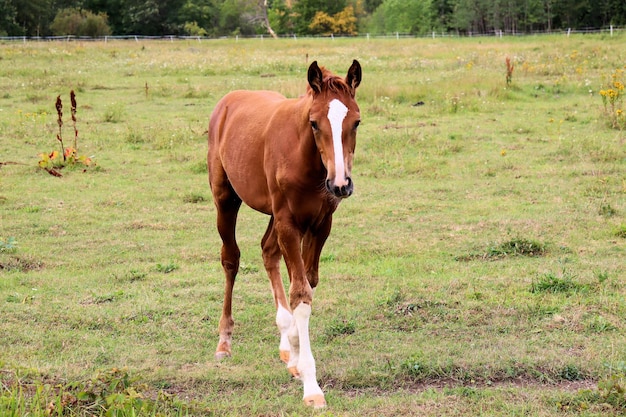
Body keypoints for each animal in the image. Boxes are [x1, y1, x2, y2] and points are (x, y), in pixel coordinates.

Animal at [206, 60, 360, 408]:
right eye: (314, 123)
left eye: (356, 122)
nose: (340, 184)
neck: (308, 161)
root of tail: (227, 101)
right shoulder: (289, 223)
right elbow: (300, 293)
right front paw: (311, 386)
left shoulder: (320, 223)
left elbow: (306, 283)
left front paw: (295, 352)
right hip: (226, 199)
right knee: (231, 259)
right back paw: (224, 342)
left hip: (273, 215)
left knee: (267, 252)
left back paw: (285, 345)